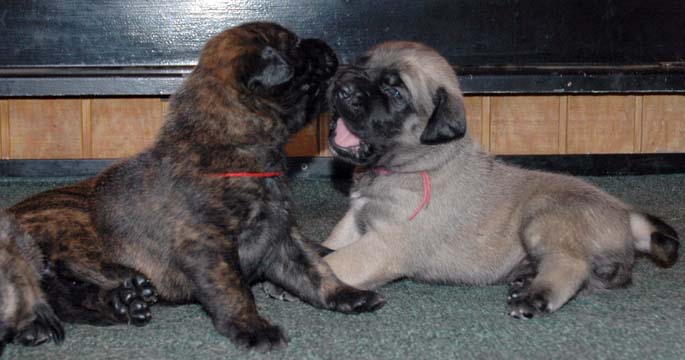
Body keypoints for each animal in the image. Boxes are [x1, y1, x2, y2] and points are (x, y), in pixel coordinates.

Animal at [5, 22, 382, 352]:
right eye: (295, 47)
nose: (328, 46)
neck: (231, 146)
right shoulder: (208, 246)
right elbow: (233, 290)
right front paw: (253, 327)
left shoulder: (280, 237)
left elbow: (314, 271)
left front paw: (346, 295)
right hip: (70, 220)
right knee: (66, 264)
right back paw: (120, 283)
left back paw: (120, 304)